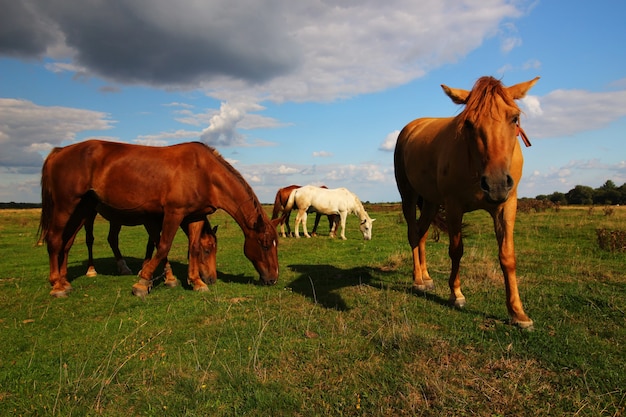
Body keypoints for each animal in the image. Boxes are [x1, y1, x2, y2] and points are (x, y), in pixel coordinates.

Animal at [39, 140, 278, 296]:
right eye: (265, 245)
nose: (274, 278)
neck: (203, 173)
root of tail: (59, 151)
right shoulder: (173, 213)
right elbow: (163, 246)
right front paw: (143, 281)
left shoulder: (195, 216)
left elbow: (191, 248)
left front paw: (196, 282)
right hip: (67, 206)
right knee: (55, 240)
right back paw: (57, 285)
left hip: (82, 209)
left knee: (67, 243)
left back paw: (64, 280)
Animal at [394, 75, 536, 328]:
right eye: (468, 123)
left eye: (514, 118)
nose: (496, 184)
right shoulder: (454, 206)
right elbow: (456, 250)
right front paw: (456, 295)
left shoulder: (506, 206)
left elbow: (507, 256)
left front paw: (518, 313)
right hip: (408, 196)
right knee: (412, 233)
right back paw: (418, 280)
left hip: (430, 202)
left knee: (421, 233)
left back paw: (427, 277)